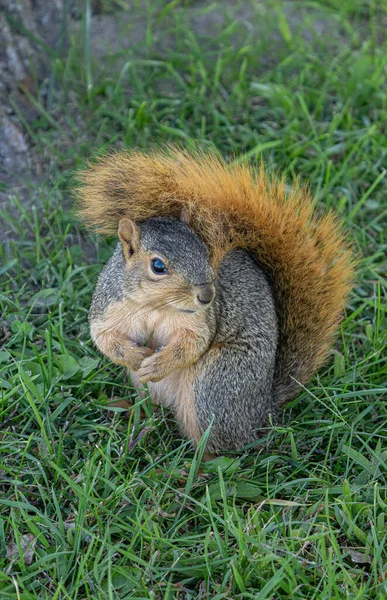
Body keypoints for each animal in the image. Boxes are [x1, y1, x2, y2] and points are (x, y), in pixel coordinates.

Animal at [76, 148, 358, 452]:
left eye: (205, 251)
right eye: (158, 266)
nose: (207, 296)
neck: (157, 306)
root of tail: (261, 413)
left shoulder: (200, 321)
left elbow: (192, 344)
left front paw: (158, 363)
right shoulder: (109, 307)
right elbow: (105, 338)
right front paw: (137, 356)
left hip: (215, 385)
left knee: (220, 448)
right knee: (157, 412)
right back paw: (130, 412)